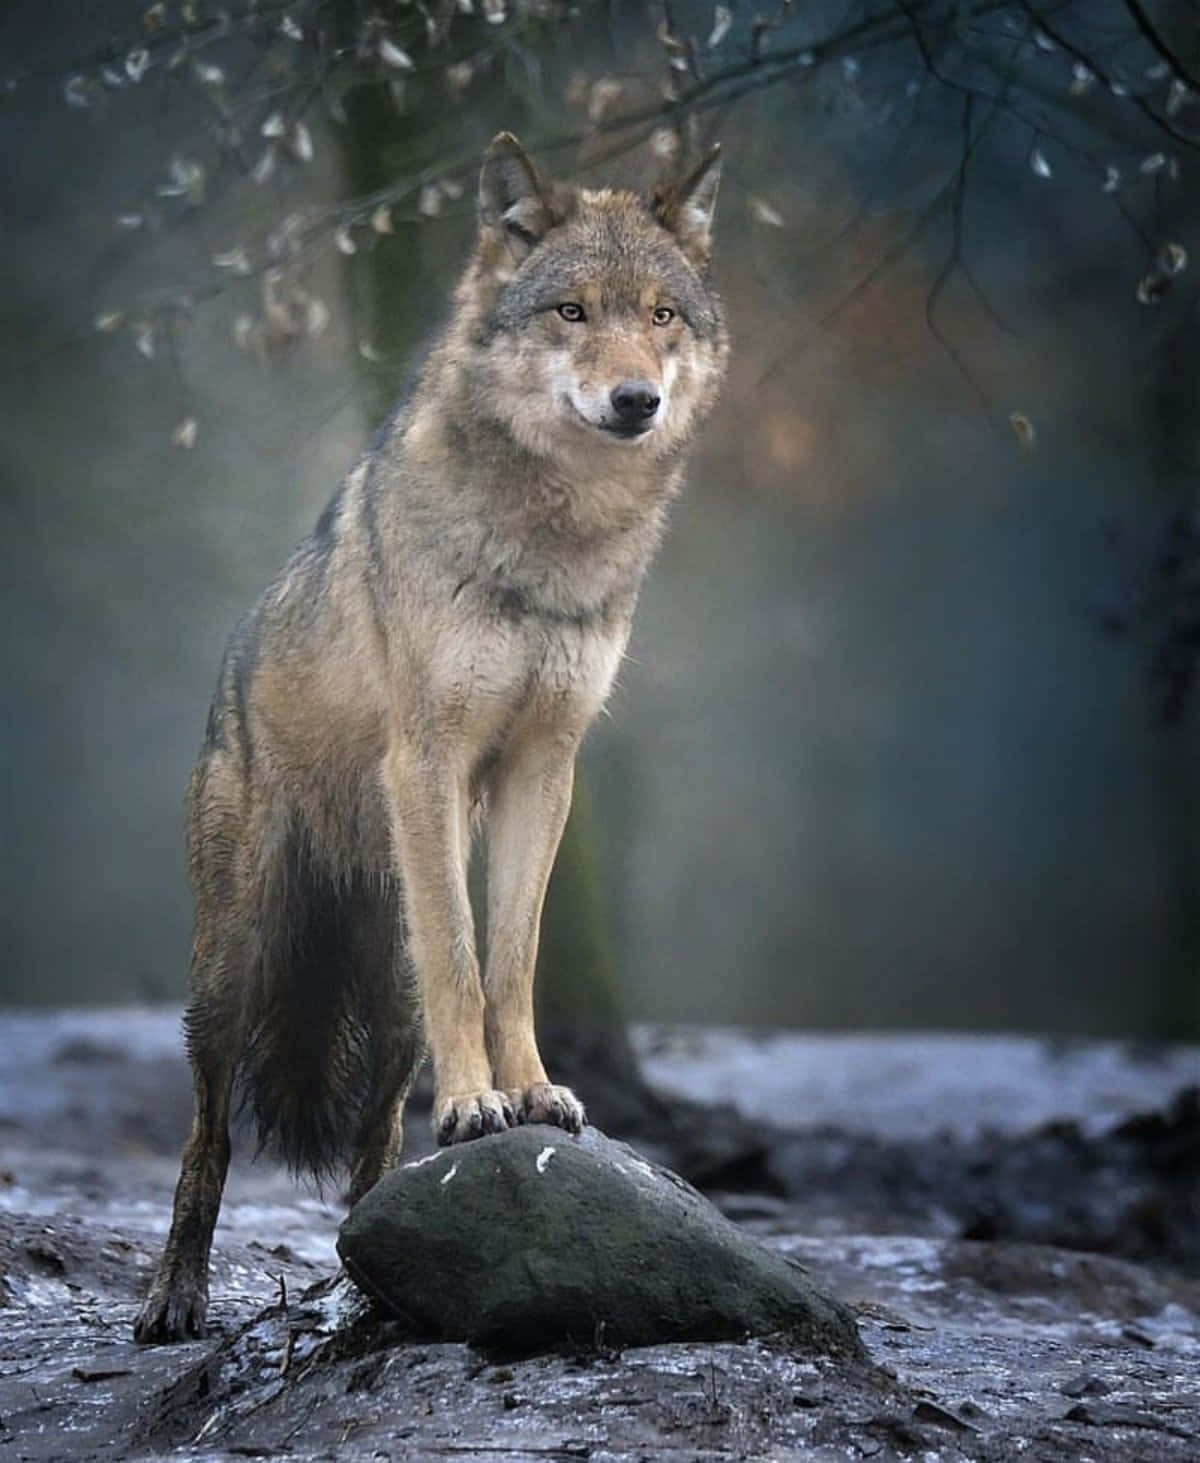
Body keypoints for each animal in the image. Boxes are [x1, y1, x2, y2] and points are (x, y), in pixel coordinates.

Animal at [133, 132, 728, 1343]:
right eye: (571, 311)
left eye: (660, 314)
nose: (636, 400)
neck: (554, 541)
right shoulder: (429, 759)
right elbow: (464, 952)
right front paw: (474, 1101)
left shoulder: (546, 767)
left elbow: (509, 955)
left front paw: (524, 1090)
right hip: (235, 967)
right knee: (206, 1133)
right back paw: (176, 1297)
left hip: (385, 996)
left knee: (373, 1150)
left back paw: (375, 1275)